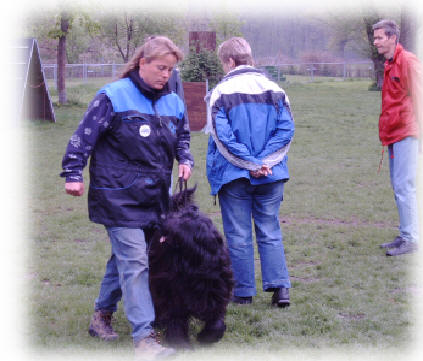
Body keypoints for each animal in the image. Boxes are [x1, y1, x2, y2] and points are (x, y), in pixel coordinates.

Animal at [148, 179, 235, 346]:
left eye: (177, 222)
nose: (159, 222)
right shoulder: (173, 291)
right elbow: (176, 318)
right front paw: (180, 342)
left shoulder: (218, 292)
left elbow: (217, 319)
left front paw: (207, 336)